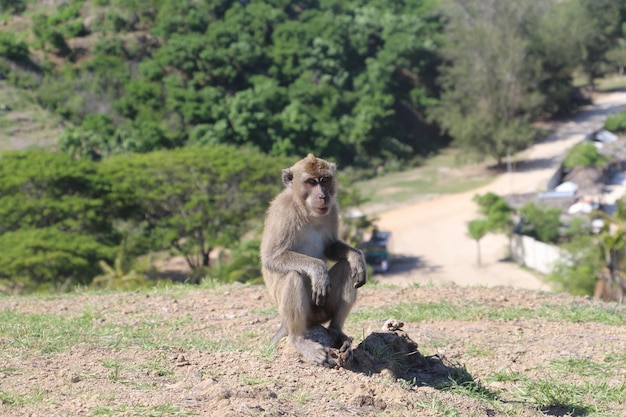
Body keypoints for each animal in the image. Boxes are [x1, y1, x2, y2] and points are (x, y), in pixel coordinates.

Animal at [258, 154, 366, 368]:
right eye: (311, 182)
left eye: (324, 180)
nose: (322, 196)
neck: (306, 211)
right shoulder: (283, 212)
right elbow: (272, 257)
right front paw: (318, 270)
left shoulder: (332, 209)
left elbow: (331, 246)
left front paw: (356, 256)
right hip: (302, 313)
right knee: (294, 275)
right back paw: (298, 339)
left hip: (322, 310)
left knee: (346, 268)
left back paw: (337, 331)